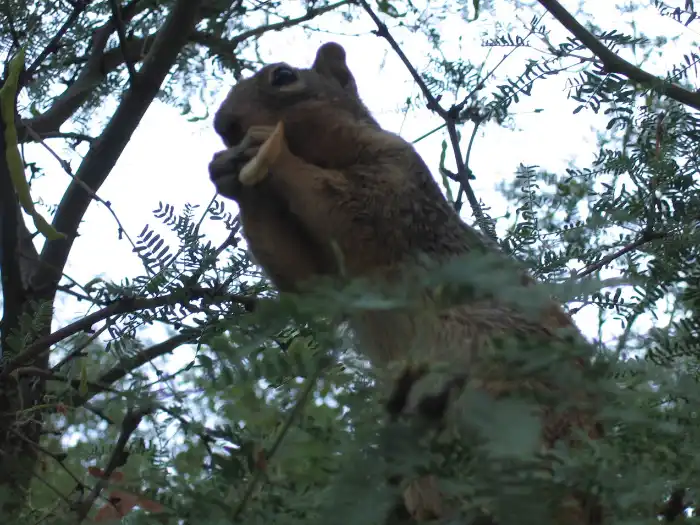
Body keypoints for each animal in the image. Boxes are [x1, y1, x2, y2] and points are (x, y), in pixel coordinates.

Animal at [208, 42, 603, 524]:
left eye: (282, 77)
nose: (223, 125)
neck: (324, 154)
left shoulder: (396, 179)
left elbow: (347, 207)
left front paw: (270, 152)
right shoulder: (331, 272)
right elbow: (305, 280)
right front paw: (227, 172)